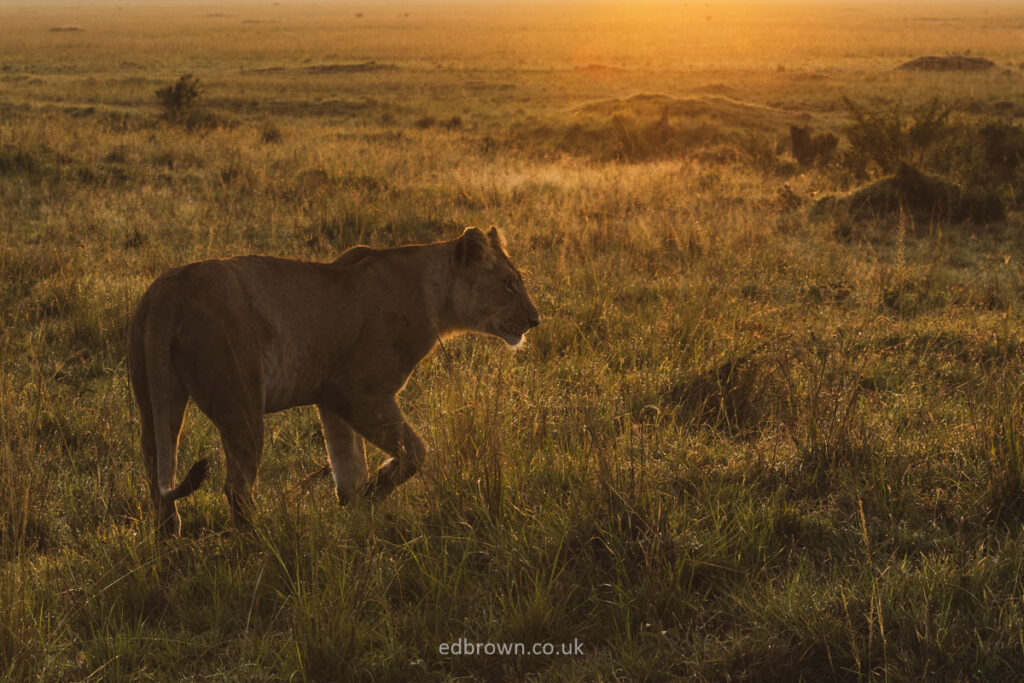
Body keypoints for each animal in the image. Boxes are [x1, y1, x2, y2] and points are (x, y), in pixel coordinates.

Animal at [128, 227, 540, 536]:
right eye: (508, 283)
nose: (536, 319)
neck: (434, 293)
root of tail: (168, 290)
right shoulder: (359, 392)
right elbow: (415, 451)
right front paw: (375, 491)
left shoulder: (330, 398)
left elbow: (347, 461)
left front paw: (357, 509)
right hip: (240, 402)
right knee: (236, 487)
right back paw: (260, 539)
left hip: (156, 400)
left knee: (156, 472)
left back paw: (168, 540)